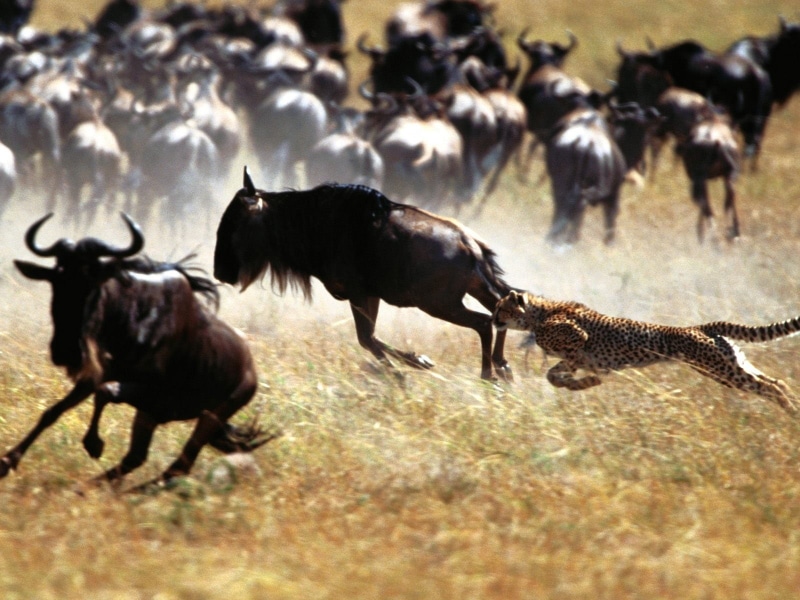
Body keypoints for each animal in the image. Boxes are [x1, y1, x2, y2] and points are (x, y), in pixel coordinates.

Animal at [492, 290, 799, 413]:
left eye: (500, 308)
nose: (493, 320)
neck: (539, 314)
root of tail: (699, 326)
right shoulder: (576, 358)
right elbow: (554, 375)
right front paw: (583, 383)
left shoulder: (578, 342)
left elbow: (555, 373)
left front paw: (585, 382)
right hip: (730, 364)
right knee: (775, 381)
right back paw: (792, 405)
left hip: (719, 369)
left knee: (768, 386)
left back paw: (790, 411)